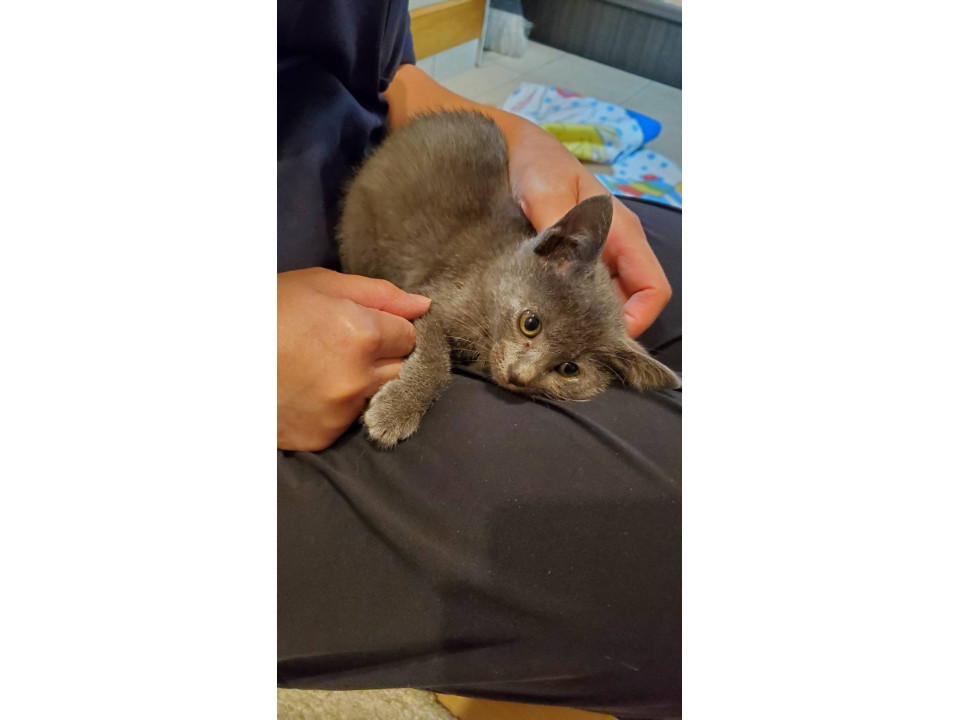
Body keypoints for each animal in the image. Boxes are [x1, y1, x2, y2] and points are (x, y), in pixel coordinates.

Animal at [338, 111, 678, 448]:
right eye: (530, 323)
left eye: (569, 369)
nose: (519, 376)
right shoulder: (428, 296)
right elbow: (435, 354)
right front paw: (396, 410)